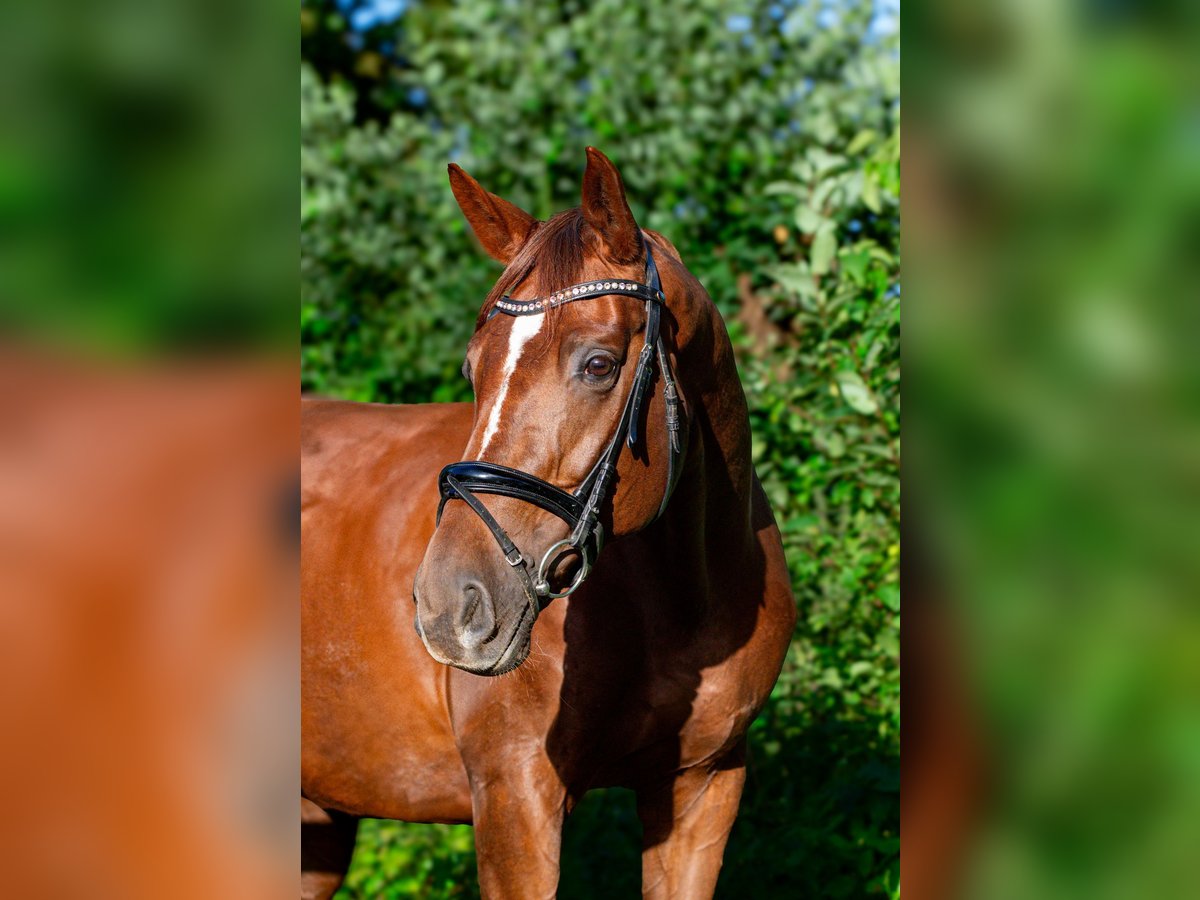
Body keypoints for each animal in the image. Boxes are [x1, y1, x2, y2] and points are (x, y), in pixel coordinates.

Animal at [302, 151, 796, 897]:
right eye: (472, 370)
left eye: (599, 364)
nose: (448, 606)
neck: (679, 605)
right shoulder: (517, 797)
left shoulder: (704, 786)